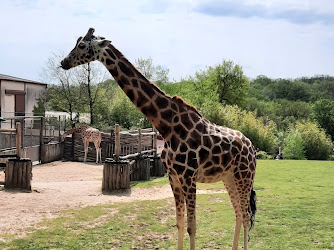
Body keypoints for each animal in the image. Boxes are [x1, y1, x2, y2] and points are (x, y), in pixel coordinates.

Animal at [60, 28, 258, 249]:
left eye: (82, 46)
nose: (64, 62)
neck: (168, 127)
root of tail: (252, 148)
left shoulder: (188, 177)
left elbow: (192, 227)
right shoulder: (173, 177)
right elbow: (180, 223)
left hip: (244, 176)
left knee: (246, 215)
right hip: (229, 177)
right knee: (238, 213)